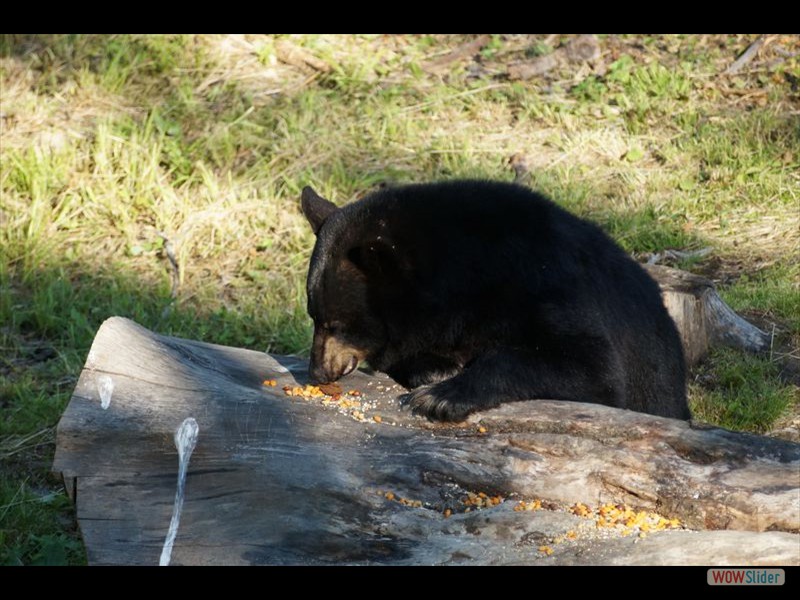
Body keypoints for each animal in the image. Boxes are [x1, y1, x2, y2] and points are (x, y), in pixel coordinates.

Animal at [300, 179, 688, 422]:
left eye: (336, 323)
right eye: (313, 316)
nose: (316, 372)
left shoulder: (543, 281)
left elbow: (593, 367)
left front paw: (440, 396)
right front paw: (437, 367)